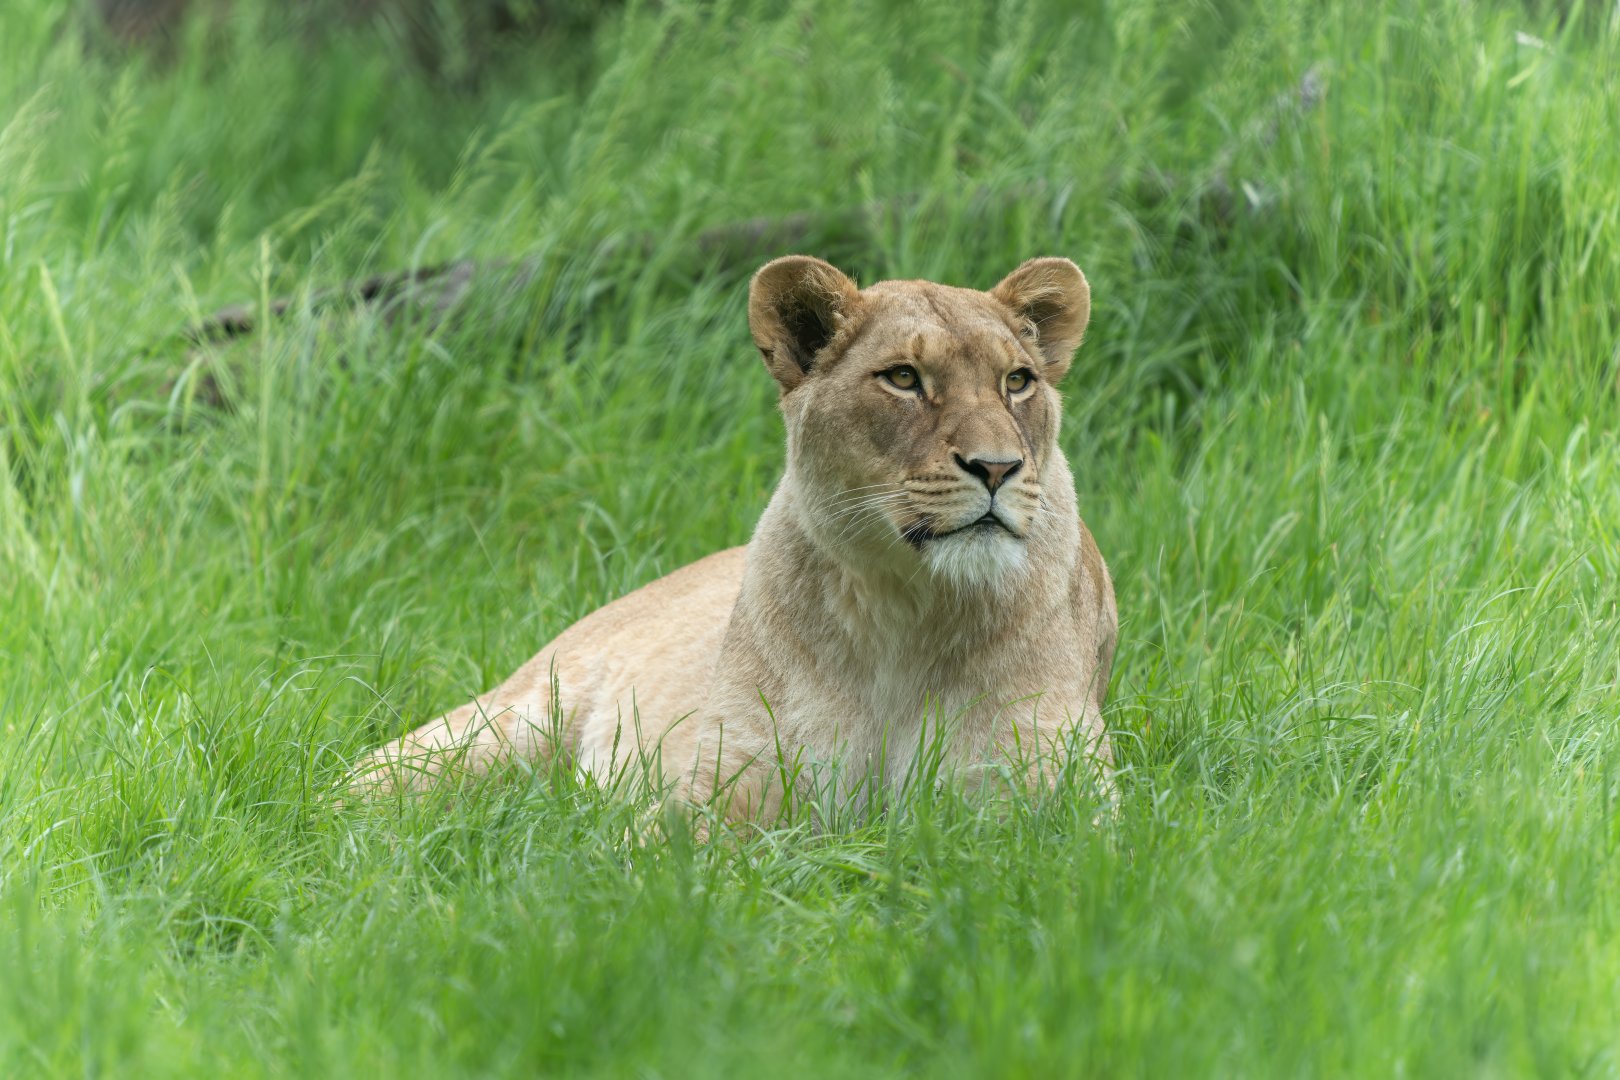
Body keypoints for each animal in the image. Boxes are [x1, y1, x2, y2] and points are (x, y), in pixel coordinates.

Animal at [351, 255, 1118, 821]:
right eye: (903, 377)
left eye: (1017, 381)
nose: (998, 467)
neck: (906, 610)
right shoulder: (718, 791)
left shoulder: (1057, 806)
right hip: (495, 730)